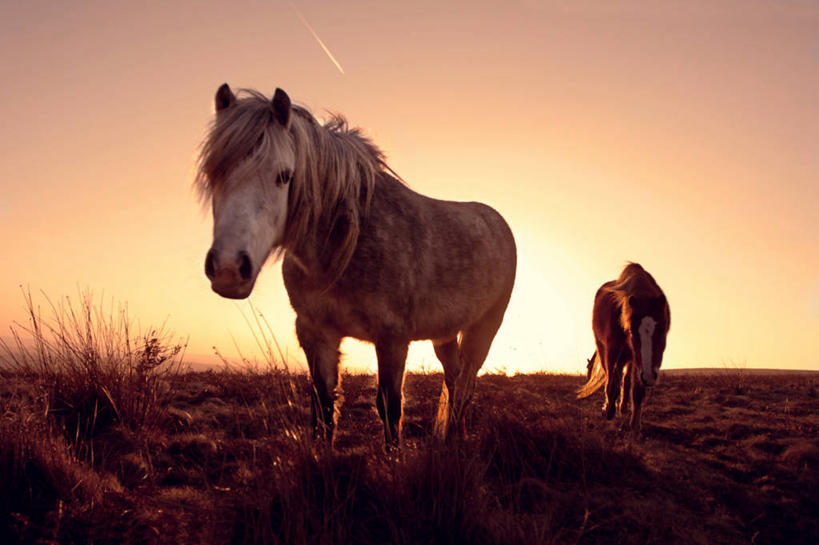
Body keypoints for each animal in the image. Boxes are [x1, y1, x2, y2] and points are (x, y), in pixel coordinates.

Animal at [195, 85, 516, 448]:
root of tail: (497, 221)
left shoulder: (392, 338)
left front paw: (392, 458)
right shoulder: (315, 333)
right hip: (444, 334)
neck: (343, 248)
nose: (228, 269)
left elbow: (389, 407)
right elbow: (322, 405)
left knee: (466, 382)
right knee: (454, 376)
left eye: (284, 176)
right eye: (212, 174)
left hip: (484, 329)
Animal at [580, 262, 668, 432]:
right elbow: (611, 380)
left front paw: (635, 424)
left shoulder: (637, 361)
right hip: (605, 349)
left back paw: (622, 407)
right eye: (632, 332)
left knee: (625, 378)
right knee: (613, 376)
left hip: (627, 357)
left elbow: (636, 390)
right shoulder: (612, 350)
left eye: (662, 331)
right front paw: (608, 410)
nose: (650, 377)